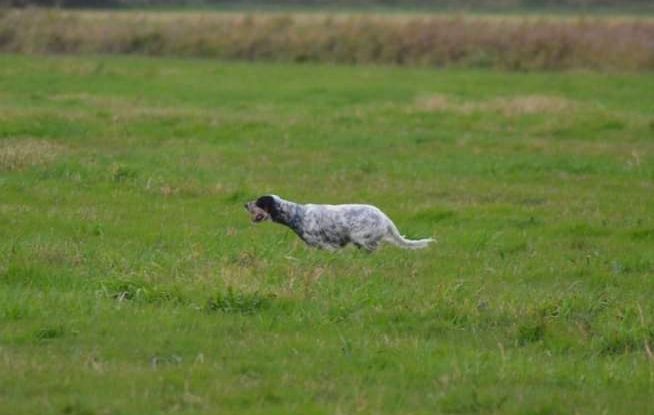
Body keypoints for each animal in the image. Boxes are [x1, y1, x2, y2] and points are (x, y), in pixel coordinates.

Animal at [246, 194, 436, 250]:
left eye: (259, 202)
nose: (245, 204)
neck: (297, 215)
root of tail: (385, 218)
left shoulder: (326, 246)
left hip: (361, 238)